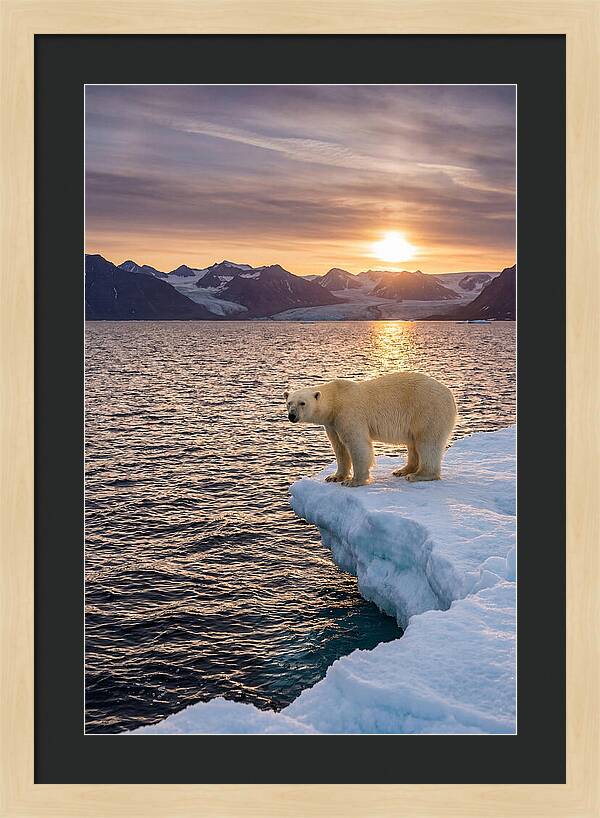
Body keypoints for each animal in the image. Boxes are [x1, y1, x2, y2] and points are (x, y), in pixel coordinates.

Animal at [284, 372, 456, 487]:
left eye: (302, 403)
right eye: (289, 402)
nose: (292, 415)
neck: (336, 399)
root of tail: (450, 394)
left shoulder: (349, 414)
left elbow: (357, 445)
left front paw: (353, 481)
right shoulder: (332, 423)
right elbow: (339, 447)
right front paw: (334, 477)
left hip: (428, 410)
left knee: (427, 442)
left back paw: (418, 475)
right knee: (413, 443)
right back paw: (402, 470)